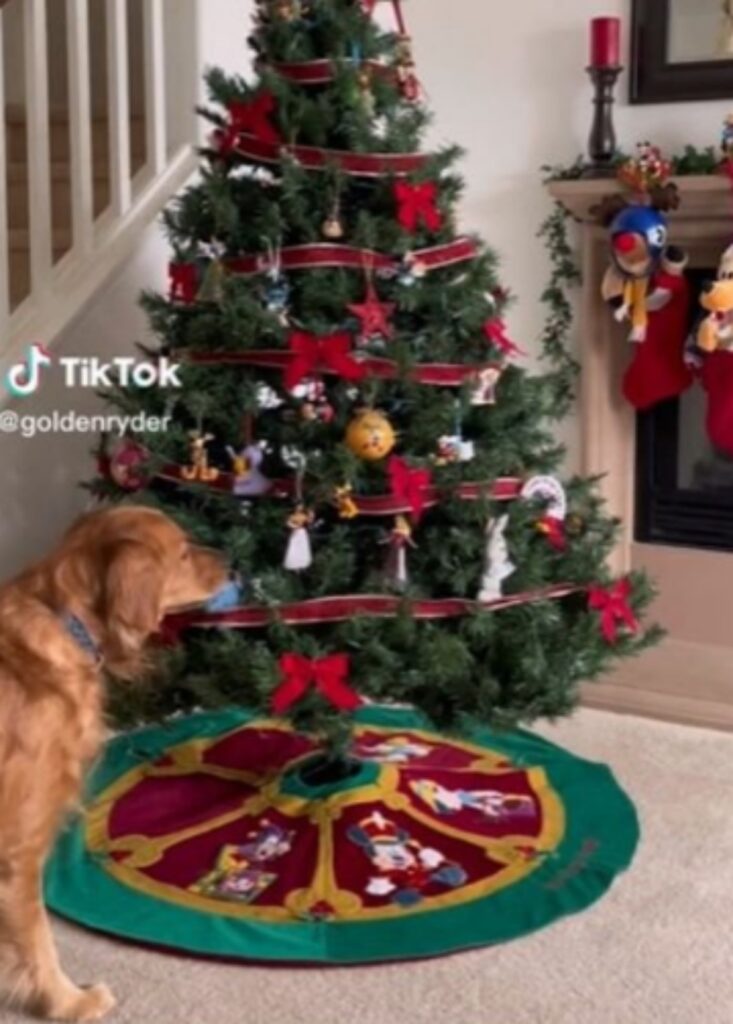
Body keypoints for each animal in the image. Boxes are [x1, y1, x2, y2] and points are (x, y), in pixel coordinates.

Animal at [0, 507, 226, 1019]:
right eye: (183, 553)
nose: (229, 560)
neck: (65, 623)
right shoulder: (18, 847)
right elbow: (39, 941)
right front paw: (68, 1002)